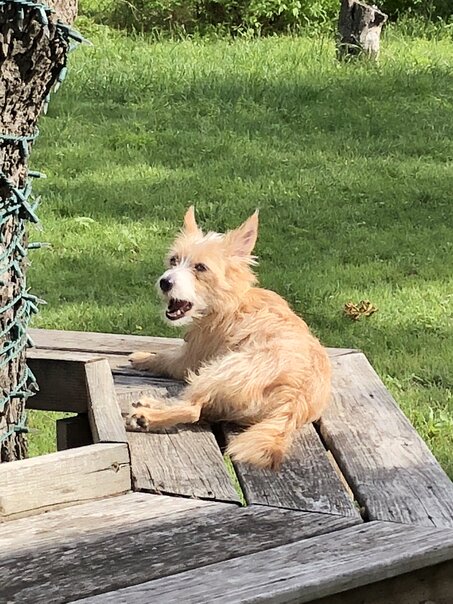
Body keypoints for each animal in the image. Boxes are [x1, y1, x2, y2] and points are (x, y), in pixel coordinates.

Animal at [127, 207, 331, 470]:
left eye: (200, 268)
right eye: (173, 260)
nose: (165, 282)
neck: (232, 300)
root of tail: (294, 398)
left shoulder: (191, 357)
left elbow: (168, 357)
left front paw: (143, 357)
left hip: (219, 370)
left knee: (193, 409)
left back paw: (148, 415)